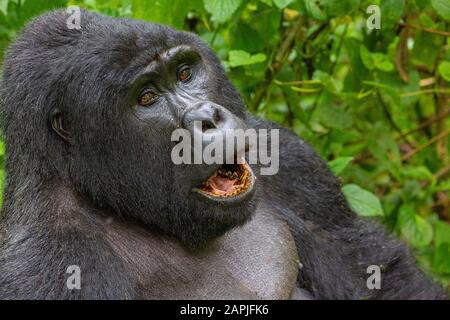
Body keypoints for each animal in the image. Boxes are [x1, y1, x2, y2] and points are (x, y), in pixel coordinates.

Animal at [0, 10, 446, 300]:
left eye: (184, 73)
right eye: (146, 98)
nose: (207, 118)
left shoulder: (288, 157)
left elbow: (378, 277)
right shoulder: (53, 264)